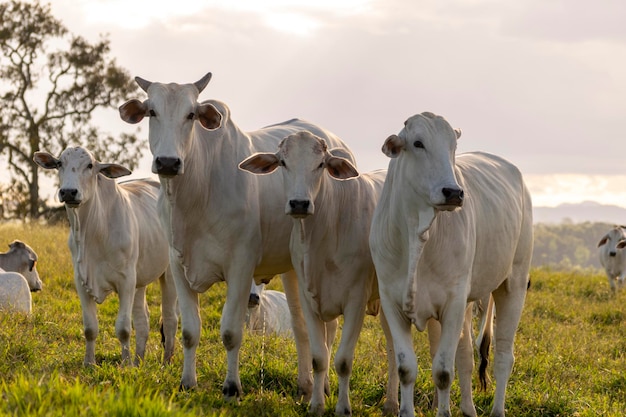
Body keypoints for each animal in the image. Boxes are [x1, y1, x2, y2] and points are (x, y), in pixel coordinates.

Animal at [33, 145, 177, 364]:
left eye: (90, 165)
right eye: (59, 163)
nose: (68, 192)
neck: (93, 231)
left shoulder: (126, 281)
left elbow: (123, 328)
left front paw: (125, 364)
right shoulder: (82, 281)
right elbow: (90, 328)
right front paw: (89, 363)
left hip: (168, 274)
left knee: (169, 319)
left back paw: (165, 362)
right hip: (140, 280)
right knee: (142, 320)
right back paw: (139, 360)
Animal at [118, 73, 356, 398]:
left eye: (191, 114)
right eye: (152, 111)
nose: (168, 162)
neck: (196, 193)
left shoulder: (241, 267)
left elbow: (231, 333)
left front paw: (232, 386)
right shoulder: (178, 265)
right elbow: (190, 331)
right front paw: (187, 382)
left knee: (328, 329)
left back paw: (325, 386)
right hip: (293, 269)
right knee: (301, 326)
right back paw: (305, 384)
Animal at [239, 131, 394, 416]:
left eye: (321, 164)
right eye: (282, 162)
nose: (299, 203)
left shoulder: (356, 301)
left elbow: (343, 360)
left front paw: (343, 408)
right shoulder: (309, 299)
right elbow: (319, 357)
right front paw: (316, 404)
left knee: (394, 348)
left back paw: (391, 403)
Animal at [368, 110, 528, 416]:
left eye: (453, 146)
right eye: (418, 143)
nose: (453, 192)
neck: (417, 233)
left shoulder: (452, 303)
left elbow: (443, 371)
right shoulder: (392, 302)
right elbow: (406, 368)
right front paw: (405, 410)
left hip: (513, 284)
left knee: (504, 356)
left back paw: (497, 410)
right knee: (465, 355)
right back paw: (468, 408)